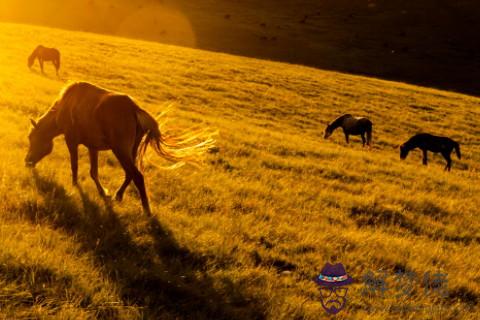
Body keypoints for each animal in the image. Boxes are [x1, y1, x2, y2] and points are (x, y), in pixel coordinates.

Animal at [24, 81, 216, 215]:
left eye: (32, 138)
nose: (27, 162)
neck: (63, 109)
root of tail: (135, 110)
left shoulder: (71, 140)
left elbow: (75, 167)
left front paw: (75, 186)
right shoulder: (92, 146)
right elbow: (93, 172)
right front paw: (103, 192)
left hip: (120, 149)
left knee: (137, 175)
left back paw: (146, 210)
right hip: (130, 150)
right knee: (130, 173)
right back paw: (119, 195)